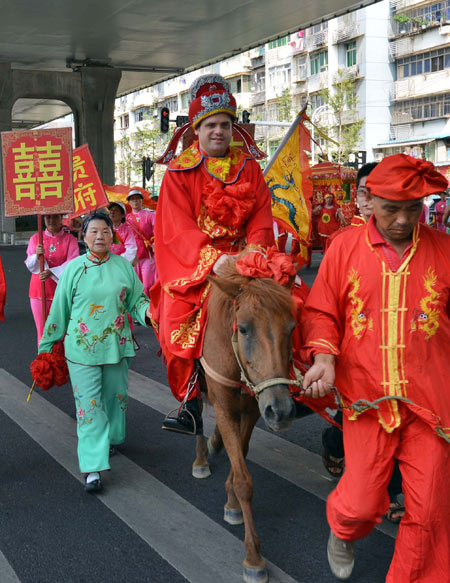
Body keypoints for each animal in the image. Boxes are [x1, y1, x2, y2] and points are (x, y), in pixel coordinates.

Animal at [192, 258, 298, 583]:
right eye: (244, 328)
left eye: (292, 327)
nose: (282, 410)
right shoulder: (225, 406)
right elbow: (243, 480)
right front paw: (253, 556)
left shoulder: (253, 407)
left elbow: (241, 452)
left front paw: (231, 500)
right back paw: (201, 458)